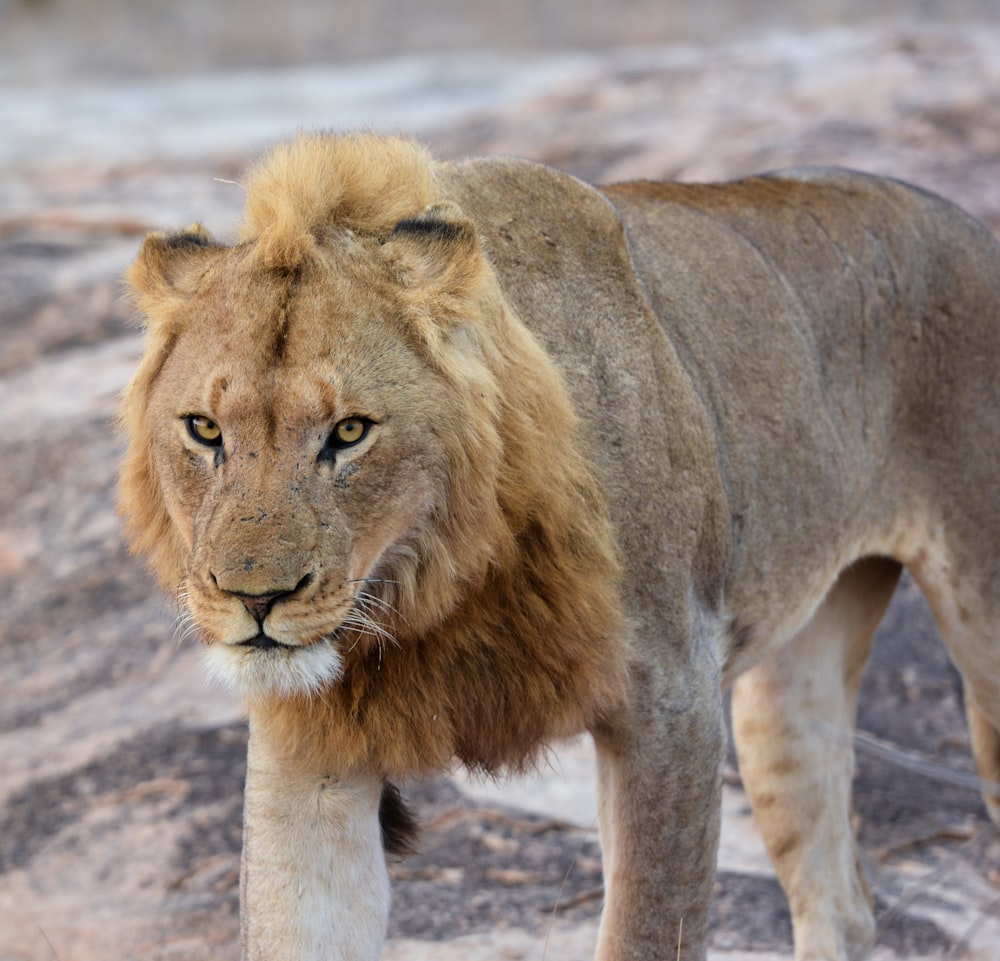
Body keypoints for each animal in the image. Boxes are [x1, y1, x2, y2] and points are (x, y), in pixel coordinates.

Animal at [121, 129, 1000, 960]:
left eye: (348, 432)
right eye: (205, 430)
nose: (254, 598)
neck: (431, 585)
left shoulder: (673, 703)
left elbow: (648, 928)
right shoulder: (311, 754)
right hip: (788, 691)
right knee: (841, 902)